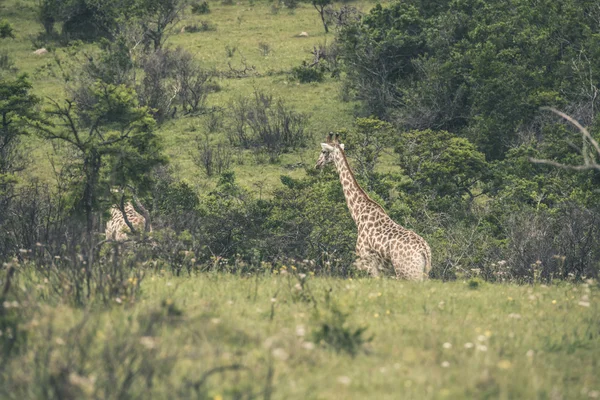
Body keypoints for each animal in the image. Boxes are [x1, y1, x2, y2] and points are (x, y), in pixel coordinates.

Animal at [314, 133, 432, 280]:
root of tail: (425, 251)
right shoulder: (381, 269)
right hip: (422, 273)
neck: (358, 214)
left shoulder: (366, 262)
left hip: (408, 273)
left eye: (323, 151)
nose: (317, 164)